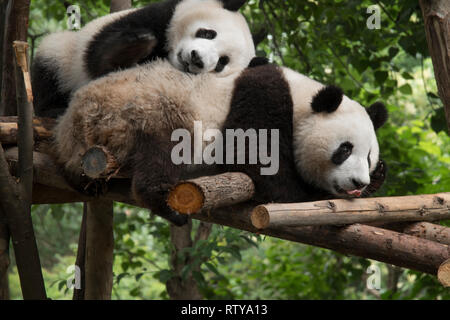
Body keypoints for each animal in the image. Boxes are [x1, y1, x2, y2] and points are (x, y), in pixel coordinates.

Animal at [32, 0, 253, 119]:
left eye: (222, 62)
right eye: (208, 33)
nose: (197, 59)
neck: (167, 52)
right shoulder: (159, 15)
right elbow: (98, 58)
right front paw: (135, 46)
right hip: (65, 55)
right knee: (50, 63)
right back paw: (52, 108)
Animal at [52, 57, 388, 225]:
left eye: (369, 156)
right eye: (344, 149)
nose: (358, 182)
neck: (301, 99)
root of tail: (72, 125)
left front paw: (379, 177)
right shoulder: (262, 97)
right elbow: (258, 165)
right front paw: (307, 195)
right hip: (145, 109)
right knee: (164, 149)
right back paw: (167, 205)